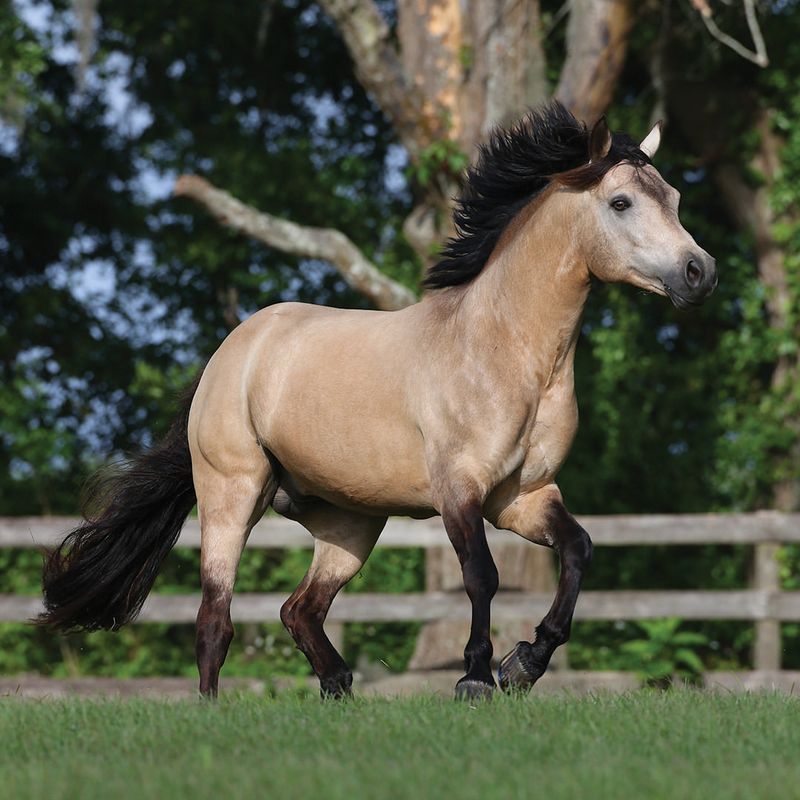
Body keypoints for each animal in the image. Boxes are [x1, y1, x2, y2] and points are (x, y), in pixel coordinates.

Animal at [37, 101, 716, 700]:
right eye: (621, 202)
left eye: (675, 199)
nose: (700, 273)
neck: (506, 351)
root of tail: (232, 352)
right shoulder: (459, 491)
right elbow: (481, 577)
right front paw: (476, 678)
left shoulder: (522, 497)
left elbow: (579, 551)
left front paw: (525, 664)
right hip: (233, 496)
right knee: (215, 620)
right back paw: (216, 708)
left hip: (350, 524)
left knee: (298, 610)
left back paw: (339, 687)